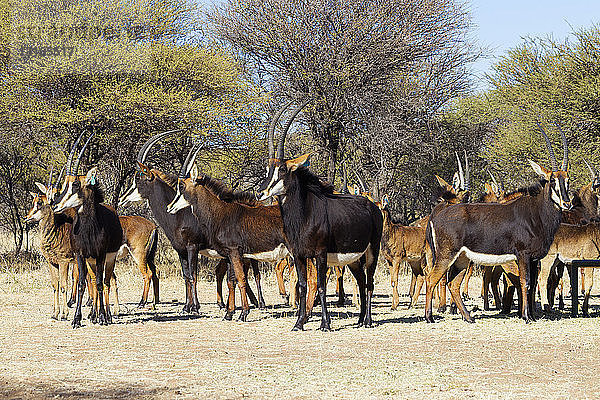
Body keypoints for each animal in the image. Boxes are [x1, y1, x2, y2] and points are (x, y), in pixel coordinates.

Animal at [52, 133, 124, 326]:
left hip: (109, 259)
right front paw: (76, 319)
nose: (55, 205)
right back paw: (93, 315)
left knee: (106, 282)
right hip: (91, 261)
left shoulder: (100, 255)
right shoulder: (80, 255)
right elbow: (82, 284)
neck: (88, 229)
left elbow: (99, 283)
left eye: (76, 184)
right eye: (64, 184)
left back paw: (106, 315)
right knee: (92, 280)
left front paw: (102, 317)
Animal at [119, 132, 262, 312]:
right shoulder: (180, 250)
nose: (122, 199)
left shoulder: (192, 247)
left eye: (139, 180)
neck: (180, 215)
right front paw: (187, 306)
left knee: (248, 273)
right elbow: (186, 276)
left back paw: (256, 303)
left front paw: (195, 307)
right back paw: (236, 304)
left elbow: (193, 275)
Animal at [256, 100, 382, 332]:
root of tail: (372, 206)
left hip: (372, 251)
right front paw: (298, 324)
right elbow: (303, 286)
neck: (304, 216)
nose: (260, 193)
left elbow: (322, 286)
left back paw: (368, 321)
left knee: (369, 282)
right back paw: (360, 320)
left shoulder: (321, 255)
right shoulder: (298, 255)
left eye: (283, 170)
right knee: (361, 282)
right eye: (268, 169)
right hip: (353, 259)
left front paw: (325, 324)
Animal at [424, 121, 568, 322]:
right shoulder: (522, 255)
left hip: (462, 258)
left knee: (453, 283)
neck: (536, 213)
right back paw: (430, 317)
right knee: (431, 279)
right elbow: (525, 282)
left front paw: (532, 315)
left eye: (567, 179)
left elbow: (532, 286)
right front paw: (525, 316)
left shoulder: (533, 259)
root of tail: (436, 216)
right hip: (446, 255)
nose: (566, 203)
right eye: (552, 180)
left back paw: (468, 317)